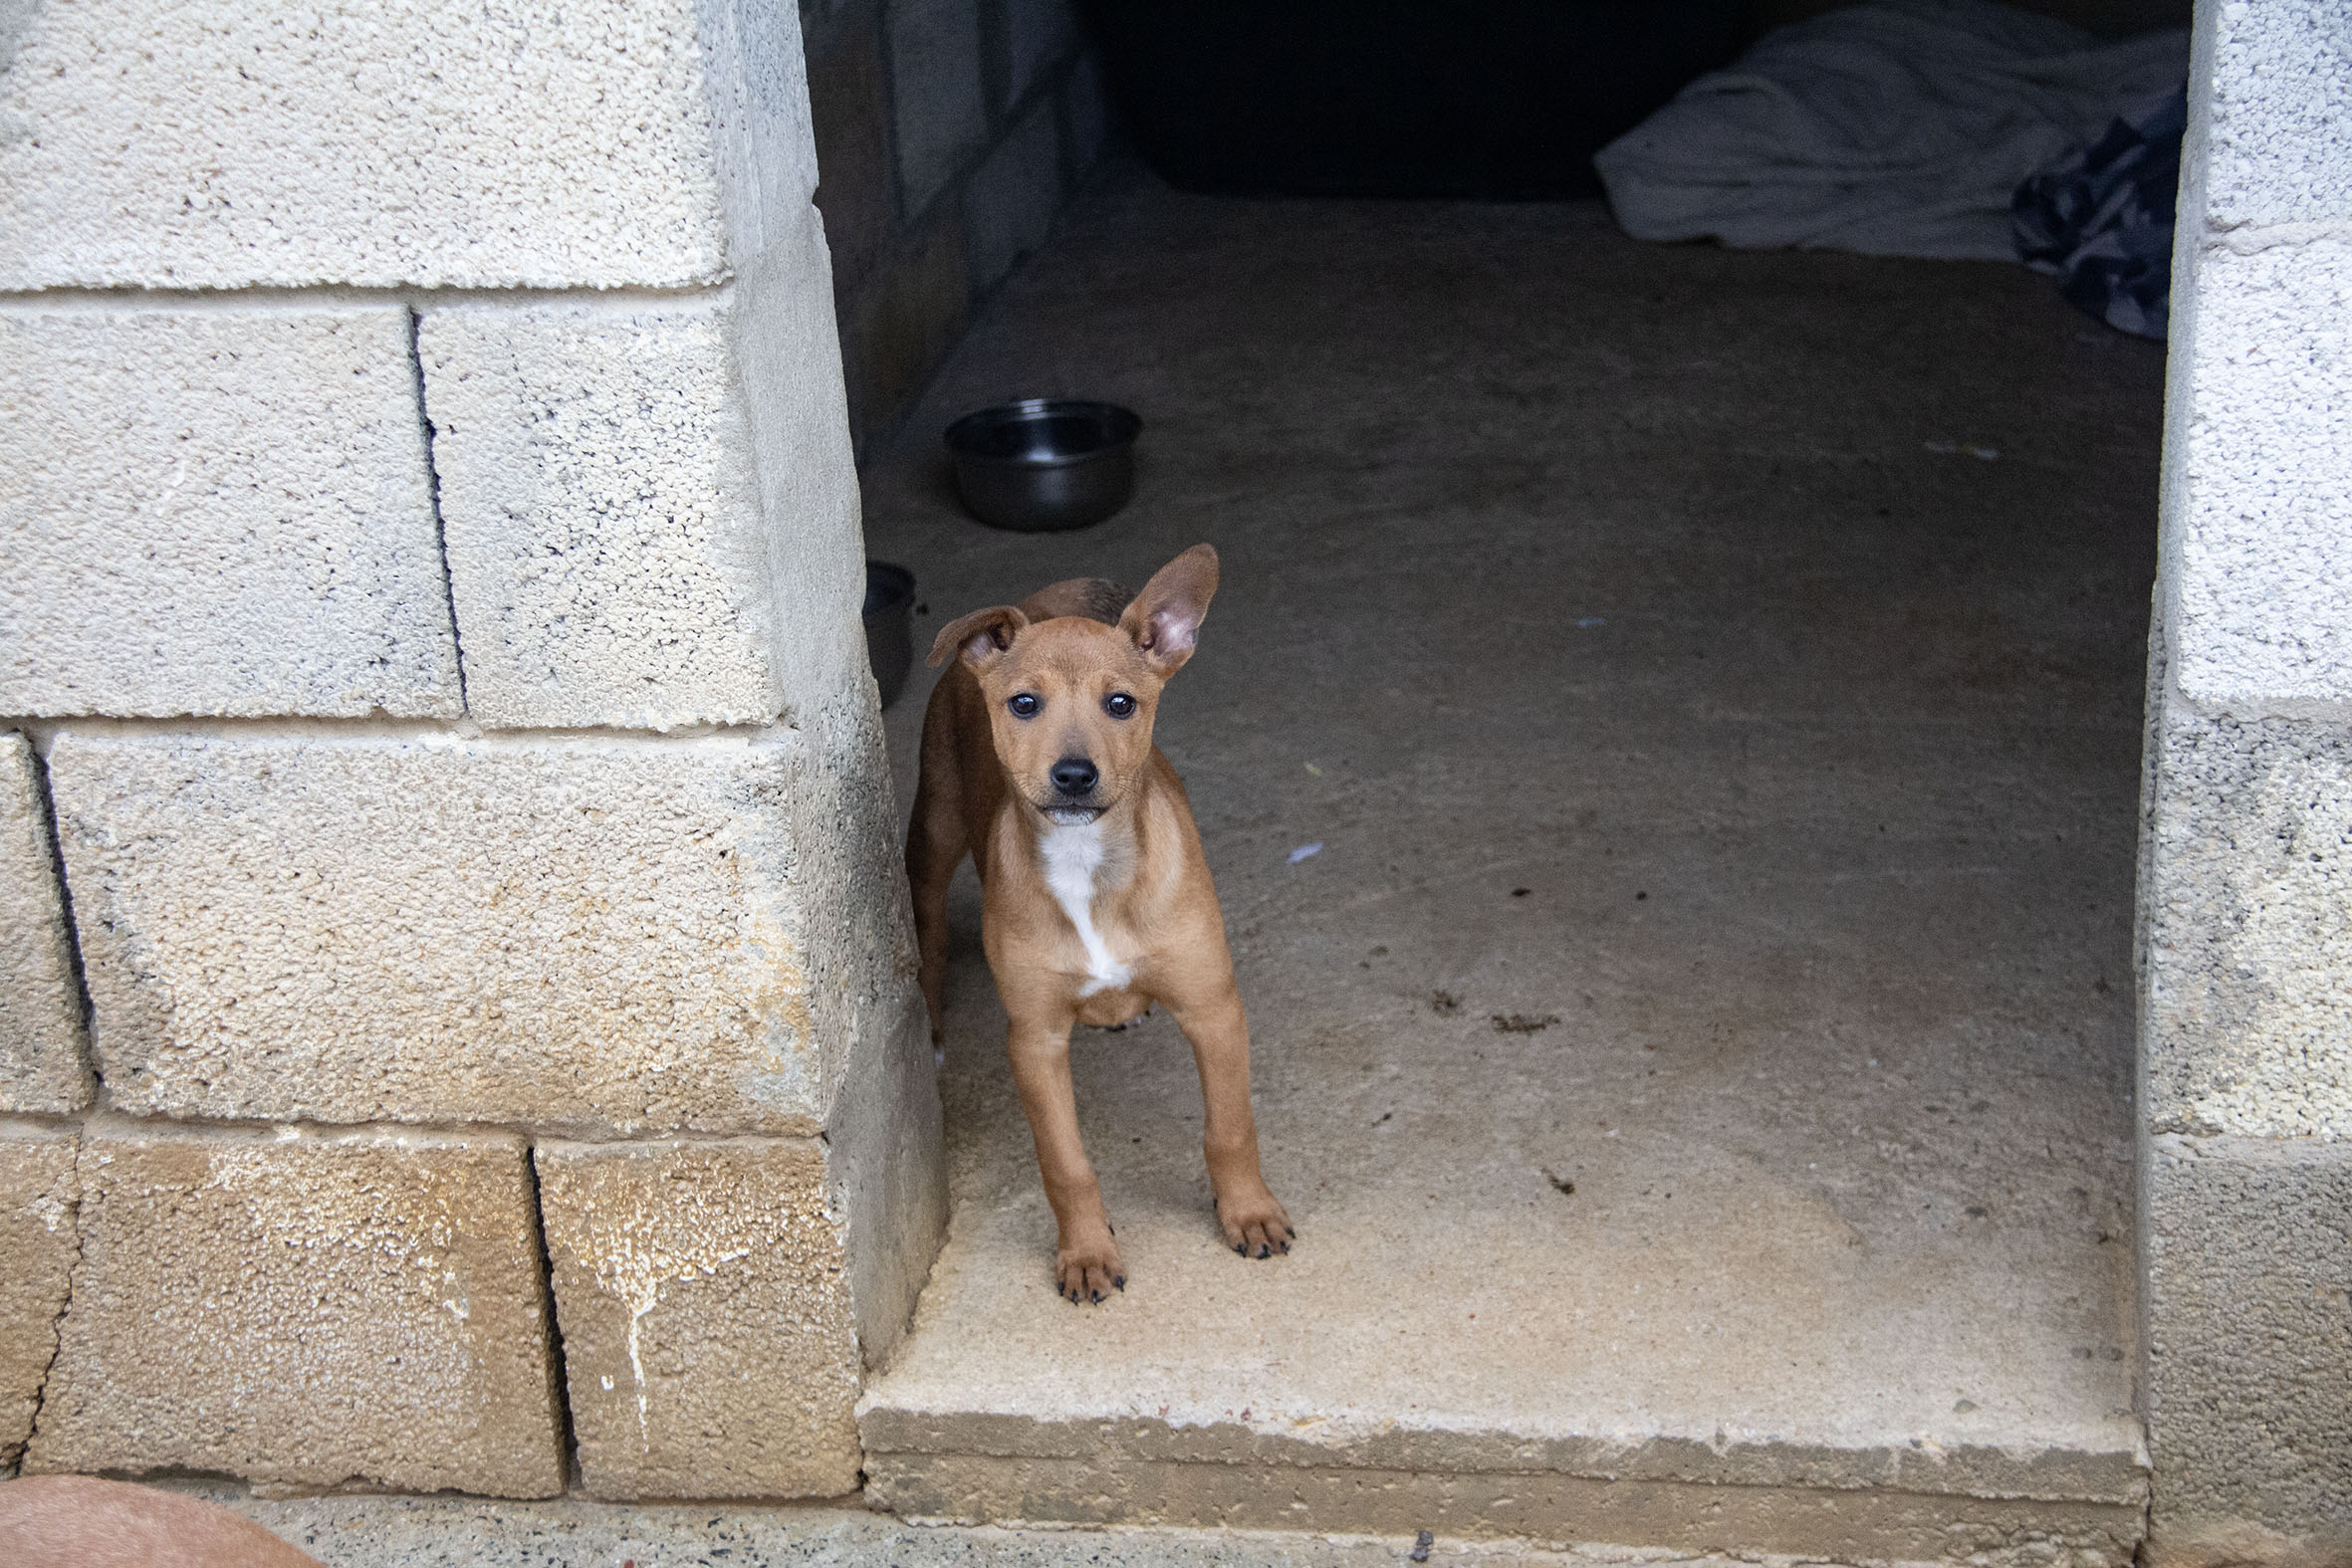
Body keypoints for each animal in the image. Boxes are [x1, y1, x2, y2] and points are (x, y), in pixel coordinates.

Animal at [907, 544, 1293, 1303]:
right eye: (1024, 703)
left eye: (1122, 704)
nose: (1074, 774)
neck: (1087, 863)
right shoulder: (1035, 1041)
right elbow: (1066, 1164)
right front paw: (1086, 1253)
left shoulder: (1214, 1008)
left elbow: (1230, 1129)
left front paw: (1249, 1213)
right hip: (933, 831)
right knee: (928, 934)